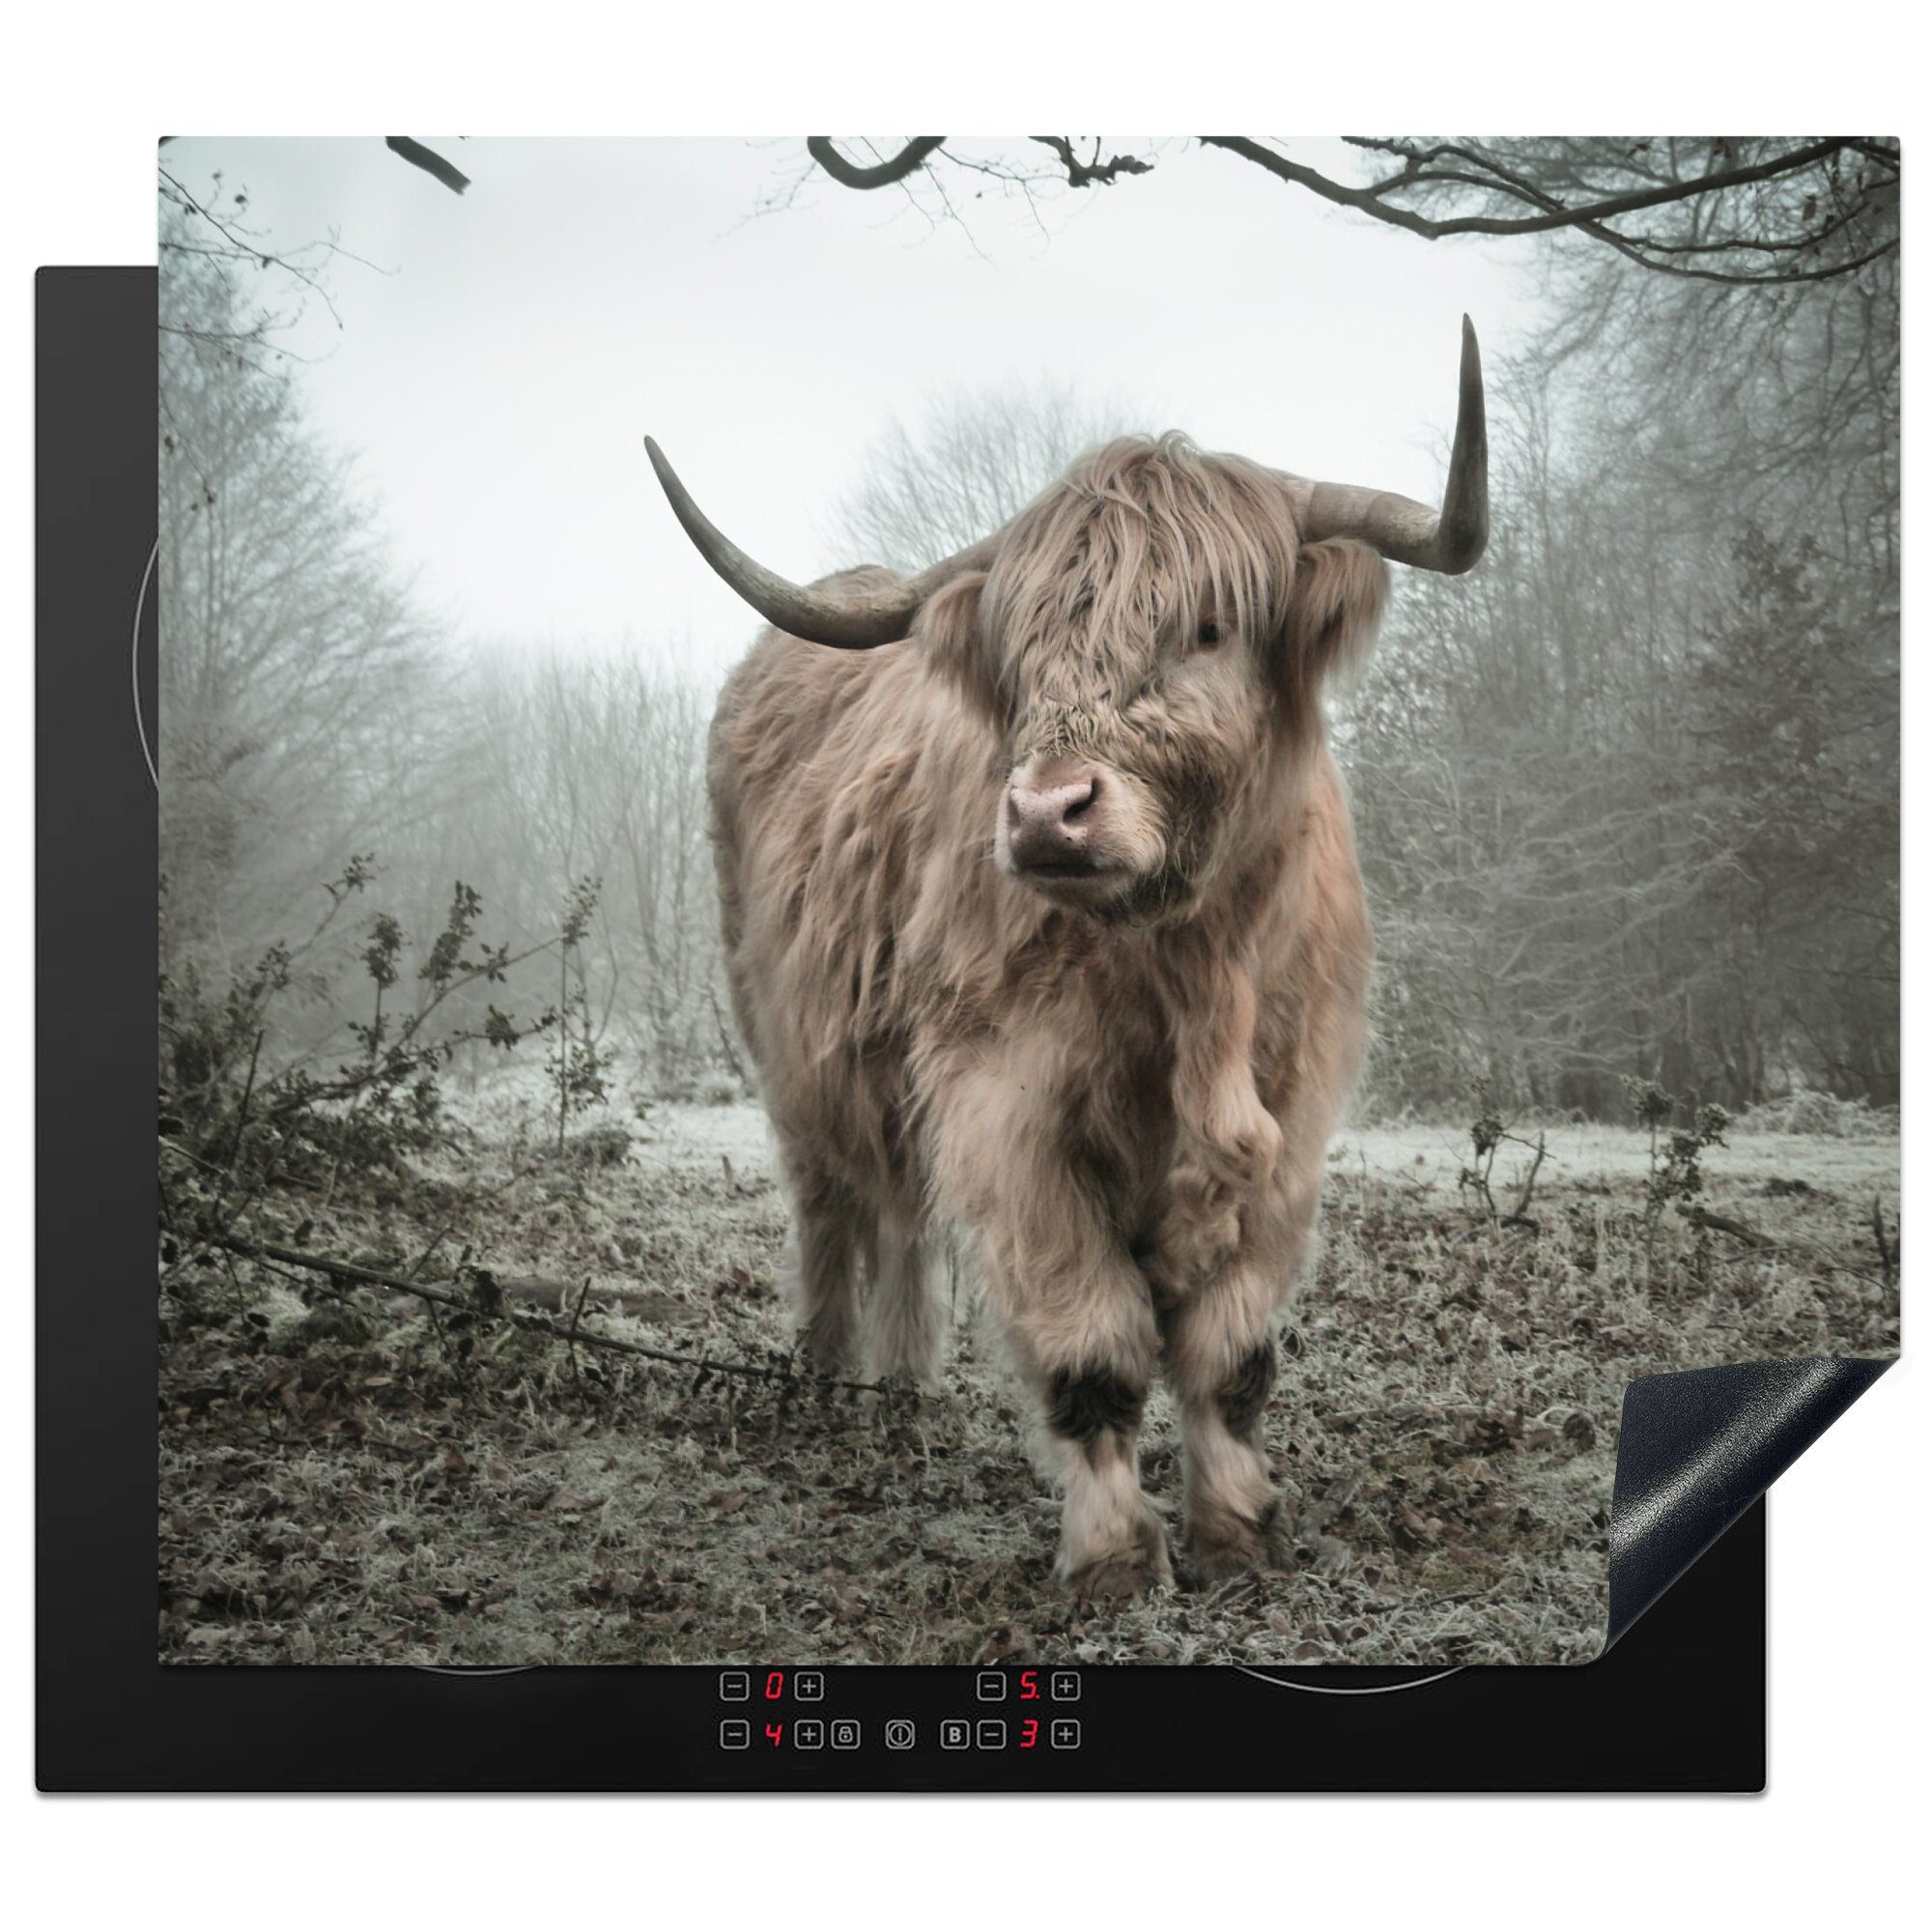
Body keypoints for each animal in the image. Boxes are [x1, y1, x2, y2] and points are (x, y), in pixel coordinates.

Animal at [645, 320, 1488, 1603]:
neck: (1189, 972)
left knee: (901, 1215)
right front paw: (1112, 1557)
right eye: (1024, 649)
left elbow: (1230, 1352)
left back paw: (903, 1388)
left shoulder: (1292, 1115)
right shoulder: (1009, 1110)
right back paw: (830, 1381)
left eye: (1206, 626)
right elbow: (1093, 1346)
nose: (1046, 812)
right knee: (834, 1208)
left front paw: (1237, 1531)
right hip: (790, 1052)